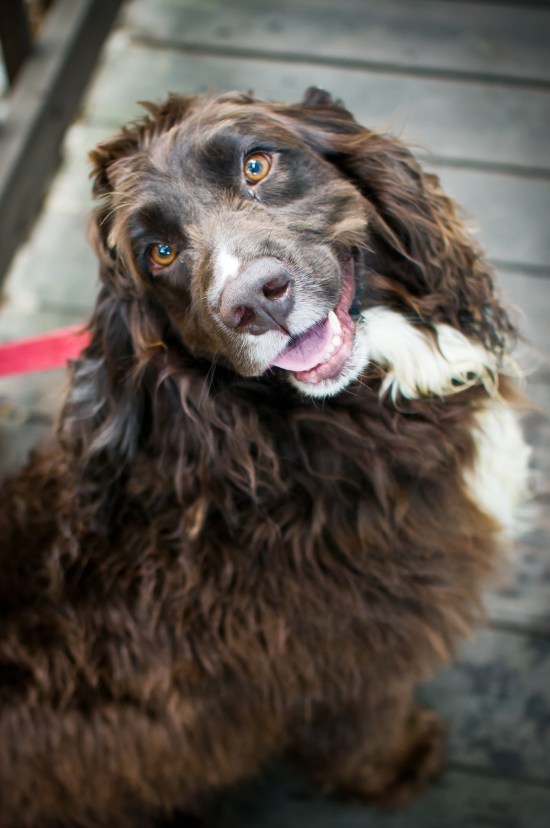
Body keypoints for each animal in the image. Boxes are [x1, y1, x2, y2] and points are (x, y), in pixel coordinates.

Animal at [0, 88, 531, 826]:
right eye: (160, 251)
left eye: (256, 165)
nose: (254, 298)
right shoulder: (350, 657)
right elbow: (365, 725)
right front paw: (398, 767)